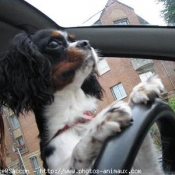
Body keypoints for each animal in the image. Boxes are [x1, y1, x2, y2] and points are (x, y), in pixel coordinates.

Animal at [0, 29, 164, 174]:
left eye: (73, 39)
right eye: (53, 44)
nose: (86, 43)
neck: (72, 110)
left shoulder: (145, 166)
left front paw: (141, 90)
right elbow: (76, 154)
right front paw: (100, 125)